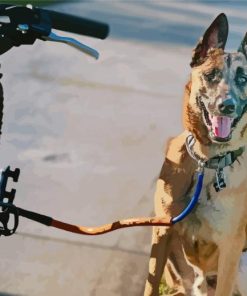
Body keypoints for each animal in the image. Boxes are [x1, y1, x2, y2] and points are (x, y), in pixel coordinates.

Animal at [144, 12, 247, 294]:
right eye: (211, 75)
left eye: (243, 79)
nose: (226, 106)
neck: (207, 162)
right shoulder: (162, 231)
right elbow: (149, 285)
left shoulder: (231, 249)